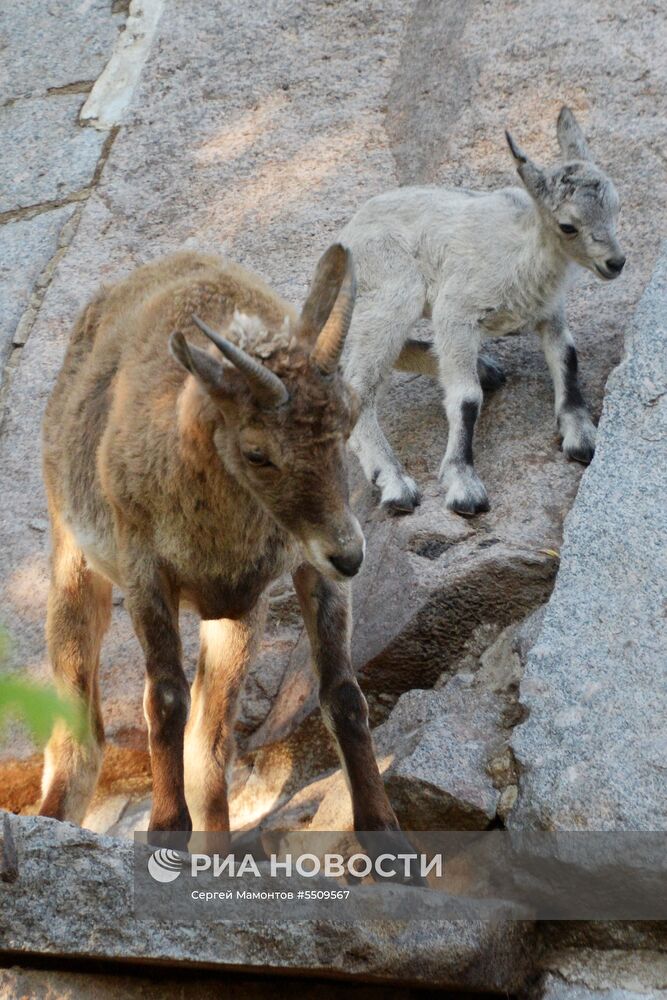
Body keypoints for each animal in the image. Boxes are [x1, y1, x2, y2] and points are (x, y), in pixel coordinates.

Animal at [39, 248, 400, 836]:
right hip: (75, 557)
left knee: (209, 744)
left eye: (347, 422)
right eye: (258, 452)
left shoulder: (296, 569)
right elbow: (164, 699)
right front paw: (164, 829)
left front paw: (385, 832)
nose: (350, 555)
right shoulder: (144, 573)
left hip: (234, 620)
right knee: (79, 716)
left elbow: (343, 694)